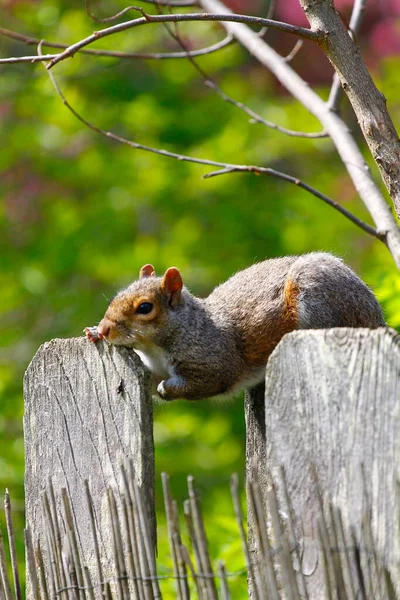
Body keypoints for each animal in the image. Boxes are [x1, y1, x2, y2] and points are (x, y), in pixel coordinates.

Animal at [84, 251, 384, 400]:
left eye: (145, 308)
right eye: (116, 296)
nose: (107, 328)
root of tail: (376, 317)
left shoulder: (213, 360)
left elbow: (207, 382)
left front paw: (167, 390)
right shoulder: (153, 369)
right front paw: (93, 332)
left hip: (316, 295)